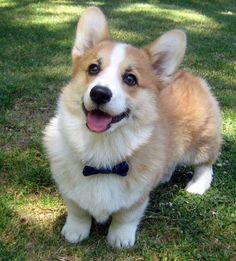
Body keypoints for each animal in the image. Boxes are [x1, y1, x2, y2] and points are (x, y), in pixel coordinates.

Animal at [43, 6, 221, 248]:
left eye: (130, 79)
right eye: (93, 68)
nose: (99, 93)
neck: (102, 150)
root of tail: (190, 76)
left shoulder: (137, 197)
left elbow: (126, 217)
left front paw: (120, 239)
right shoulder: (69, 190)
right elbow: (78, 211)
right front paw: (74, 231)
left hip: (201, 141)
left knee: (205, 165)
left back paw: (197, 185)